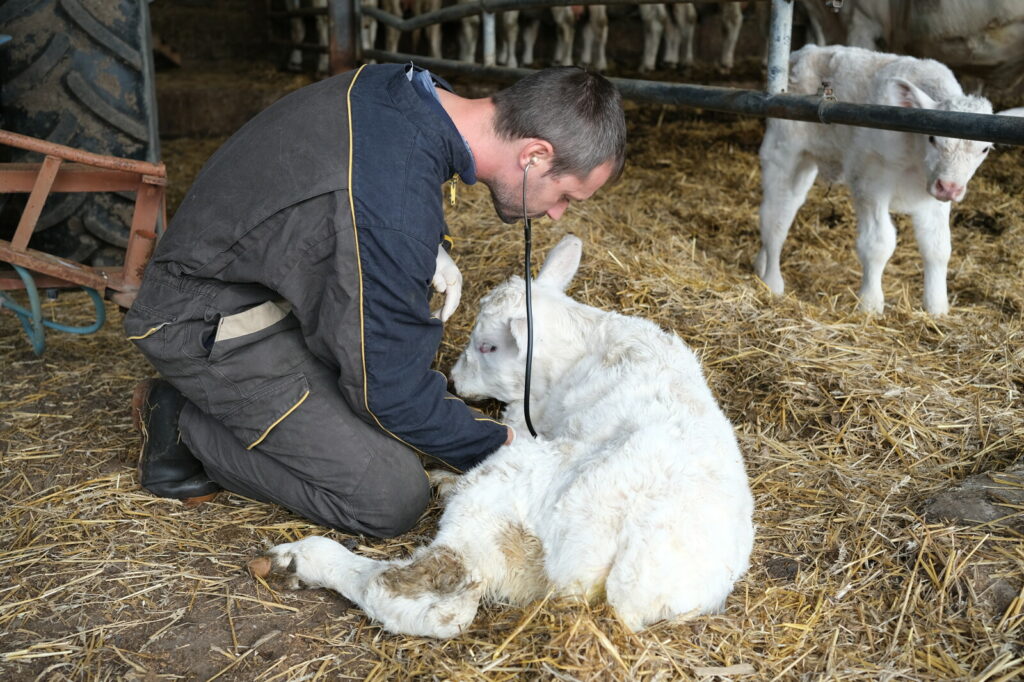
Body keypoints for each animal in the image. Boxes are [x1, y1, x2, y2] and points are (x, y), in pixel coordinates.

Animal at [252, 235, 757, 638]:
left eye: (488, 346)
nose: (454, 382)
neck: (580, 348)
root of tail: (631, 576)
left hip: (508, 490)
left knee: (426, 600)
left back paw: (302, 559)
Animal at [753, 43, 1024, 315]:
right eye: (932, 138)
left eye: (984, 149)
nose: (949, 188)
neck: (915, 158)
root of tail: (805, 51)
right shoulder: (870, 183)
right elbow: (878, 243)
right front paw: (870, 304)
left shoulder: (933, 198)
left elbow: (938, 247)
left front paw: (937, 307)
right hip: (783, 150)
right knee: (775, 218)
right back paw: (772, 282)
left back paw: (760, 265)